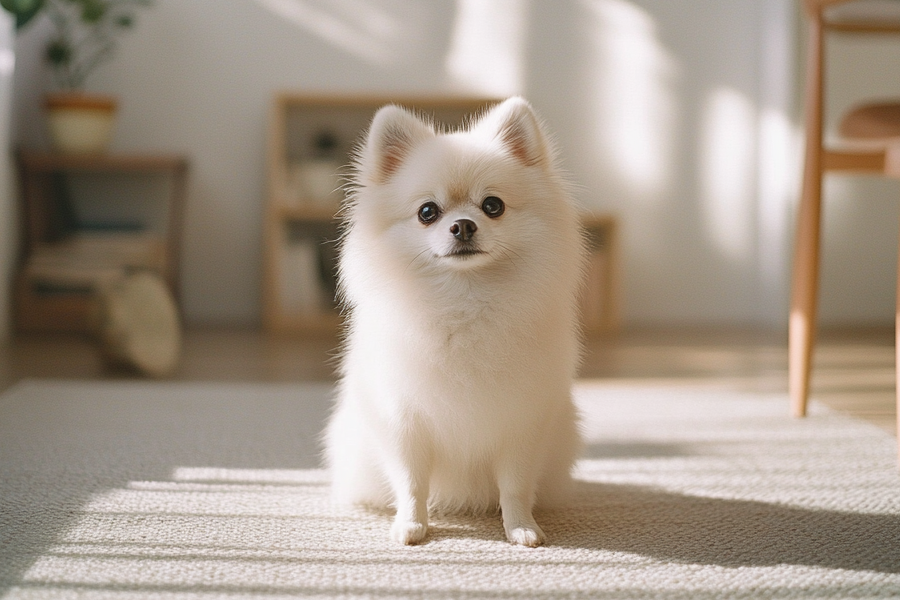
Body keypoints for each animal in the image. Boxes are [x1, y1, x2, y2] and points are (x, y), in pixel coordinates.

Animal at [326, 96, 588, 548]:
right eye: (427, 212)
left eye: (493, 206)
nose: (463, 225)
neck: (465, 302)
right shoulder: (404, 420)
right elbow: (412, 482)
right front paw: (411, 525)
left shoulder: (522, 421)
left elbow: (514, 486)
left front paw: (521, 527)